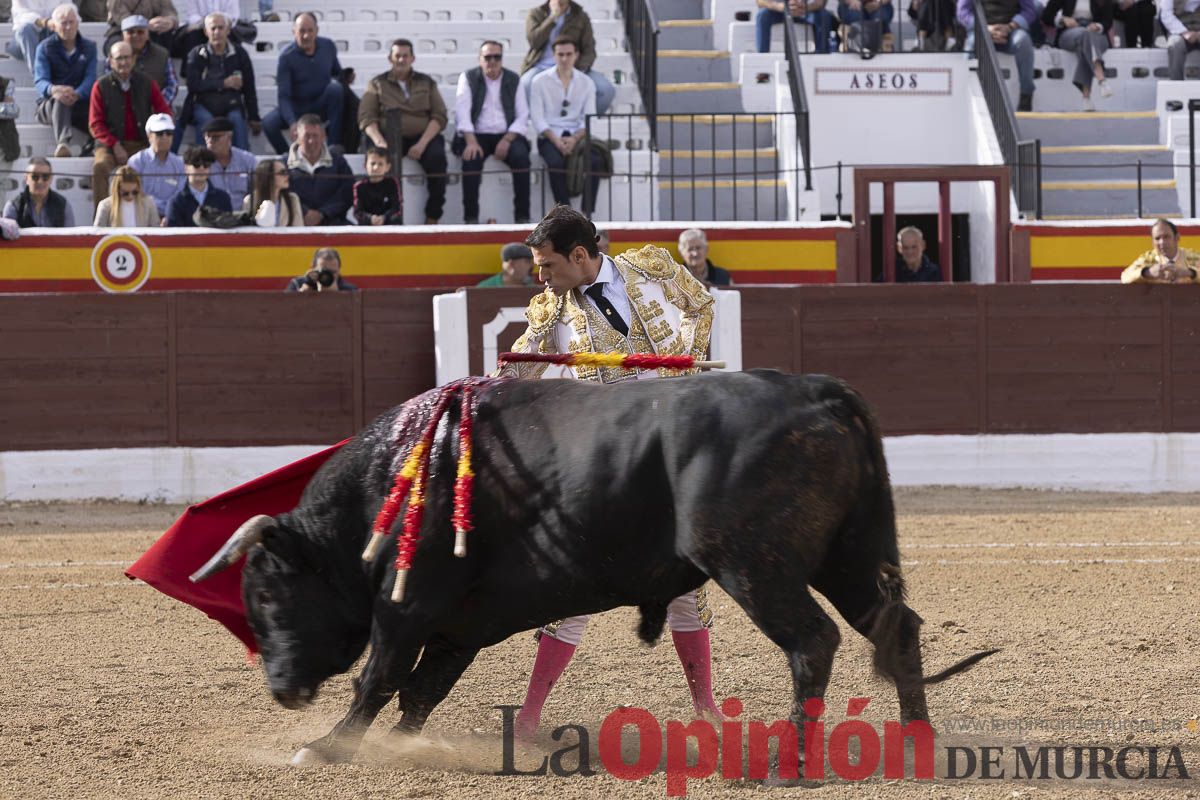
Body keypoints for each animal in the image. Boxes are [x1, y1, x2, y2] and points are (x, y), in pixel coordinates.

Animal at [194, 369, 993, 762]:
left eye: (267, 595)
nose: (281, 689)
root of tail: (819, 392)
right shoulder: (458, 625)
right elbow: (421, 690)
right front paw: (398, 745)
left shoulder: (404, 605)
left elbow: (379, 679)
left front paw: (325, 748)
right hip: (847, 556)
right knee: (897, 627)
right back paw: (917, 743)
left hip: (752, 564)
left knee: (813, 641)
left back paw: (786, 763)